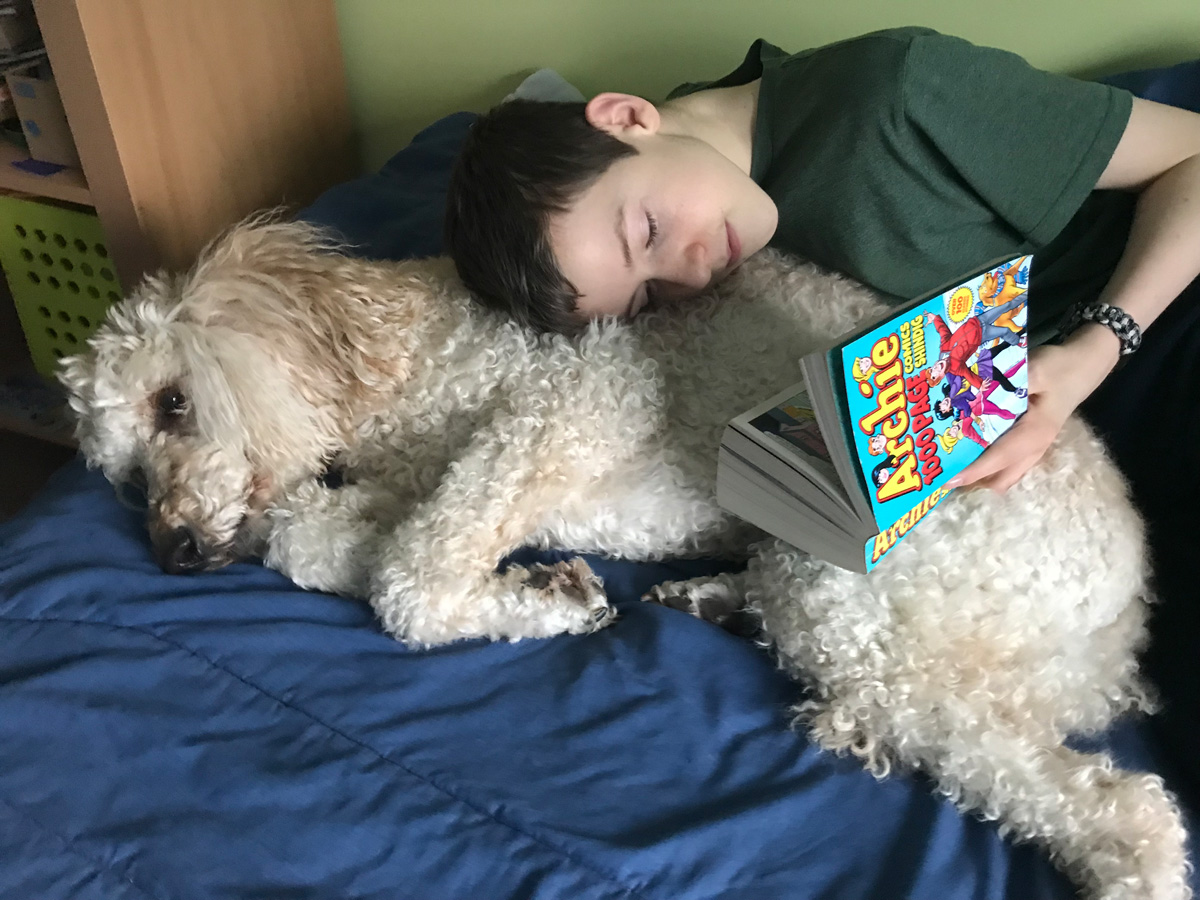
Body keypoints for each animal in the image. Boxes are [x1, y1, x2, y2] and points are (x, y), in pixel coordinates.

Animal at [63, 218, 1190, 900]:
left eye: (175, 402)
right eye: (123, 476)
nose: (172, 553)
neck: (399, 353)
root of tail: (1124, 619)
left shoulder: (560, 411)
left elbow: (409, 582)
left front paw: (550, 599)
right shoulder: (420, 480)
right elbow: (320, 538)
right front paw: (541, 585)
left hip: (850, 579)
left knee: (1114, 805)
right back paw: (710, 598)